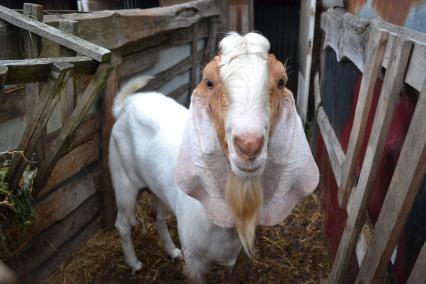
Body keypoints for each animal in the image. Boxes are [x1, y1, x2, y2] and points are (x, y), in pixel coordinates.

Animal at [110, 31, 320, 282]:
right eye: (208, 82)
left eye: (281, 81)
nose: (249, 145)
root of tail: (126, 104)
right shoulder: (195, 261)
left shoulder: (235, 261)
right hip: (124, 182)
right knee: (122, 223)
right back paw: (134, 263)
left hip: (156, 185)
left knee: (158, 217)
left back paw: (171, 251)